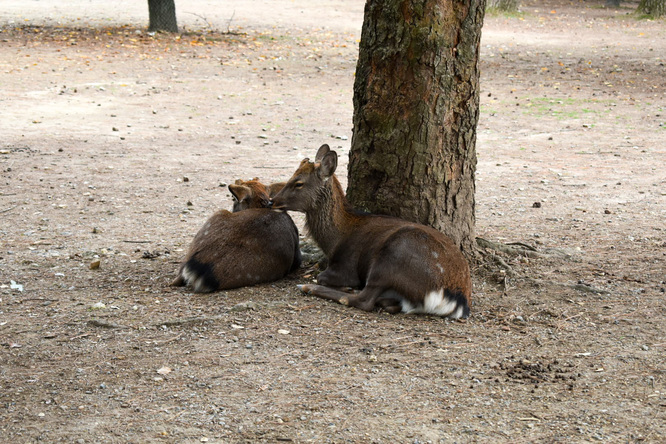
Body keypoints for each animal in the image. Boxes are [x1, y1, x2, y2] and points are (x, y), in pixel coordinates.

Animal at [268, 146, 470, 320]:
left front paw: (342, 286)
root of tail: (456, 300)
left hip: (392, 256)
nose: (271, 201)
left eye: (299, 183)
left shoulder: (347, 266)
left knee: (363, 300)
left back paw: (309, 287)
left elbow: (322, 276)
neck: (335, 241)